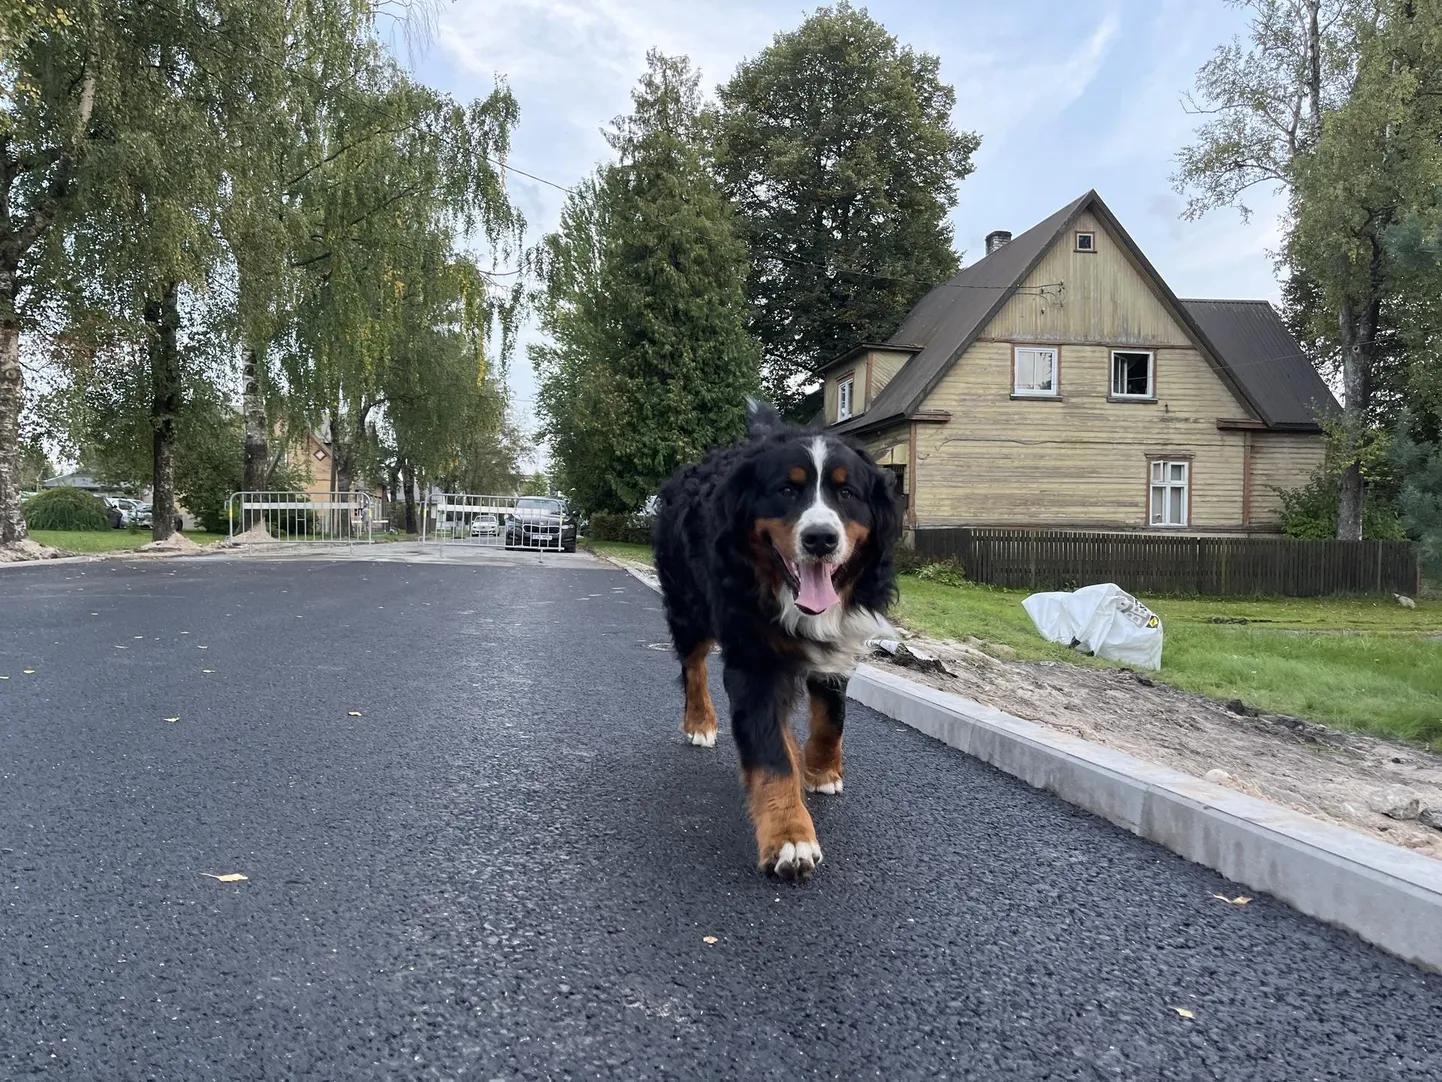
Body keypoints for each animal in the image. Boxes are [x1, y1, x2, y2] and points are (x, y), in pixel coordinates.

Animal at [654, 398, 899, 882]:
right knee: (693, 665)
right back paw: (700, 722)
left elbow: (831, 716)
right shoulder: (756, 661)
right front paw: (790, 837)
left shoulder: (837, 645)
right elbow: (771, 755)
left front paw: (821, 770)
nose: (821, 539)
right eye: (787, 490)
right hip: (688, 606)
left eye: (847, 493)